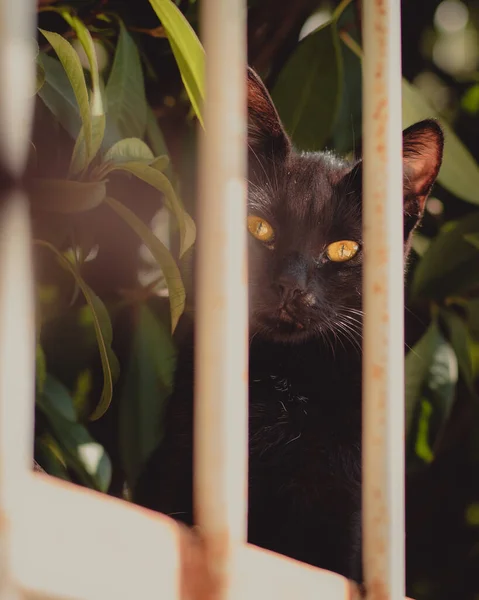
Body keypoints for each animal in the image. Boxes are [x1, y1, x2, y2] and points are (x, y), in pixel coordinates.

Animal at [133, 68, 444, 584]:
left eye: (343, 249)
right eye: (258, 227)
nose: (289, 286)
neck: (288, 382)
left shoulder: (342, 504)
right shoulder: (180, 458)